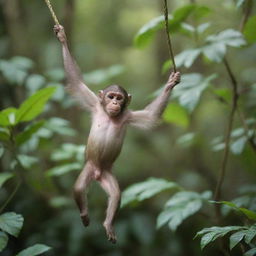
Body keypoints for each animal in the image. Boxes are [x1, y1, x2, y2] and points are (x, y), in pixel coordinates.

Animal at [53, 24, 180, 244]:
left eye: (119, 98)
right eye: (111, 96)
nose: (114, 103)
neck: (109, 115)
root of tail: (97, 174)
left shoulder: (129, 116)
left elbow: (150, 116)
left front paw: (170, 83)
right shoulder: (94, 105)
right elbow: (77, 82)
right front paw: (62, 38)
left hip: (107, 174)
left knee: (116, 195)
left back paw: (108, 224)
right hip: (89, 167)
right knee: (78, 189)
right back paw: (84, 214)